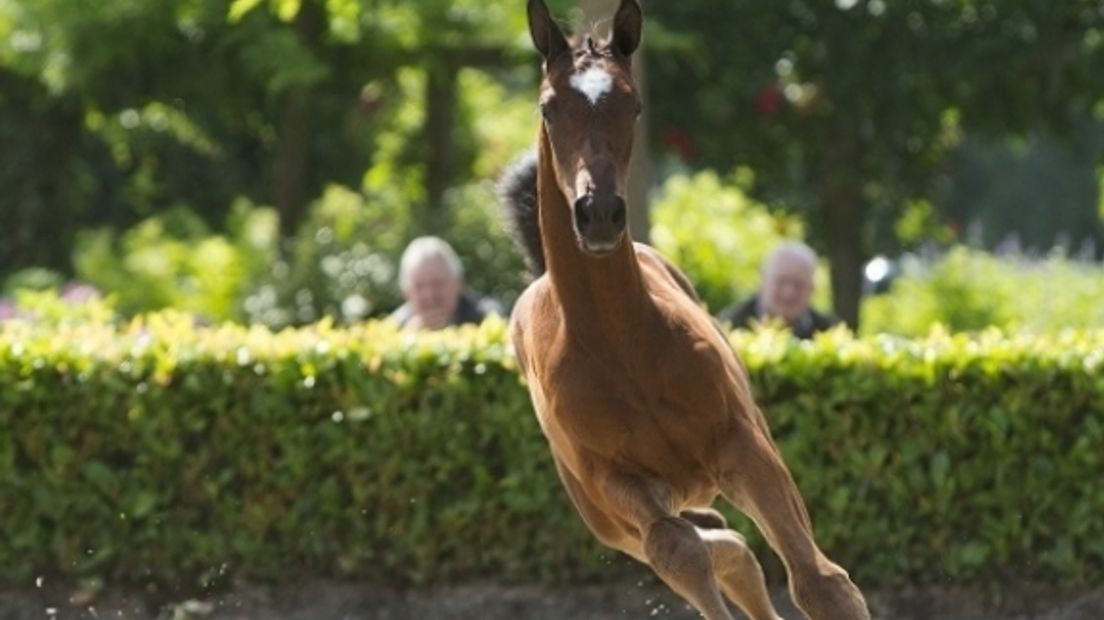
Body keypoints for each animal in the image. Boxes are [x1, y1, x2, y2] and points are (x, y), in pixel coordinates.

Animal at [505, 2, 874, 613]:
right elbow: (678, 551)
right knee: (705, 547)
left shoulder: (745, 445)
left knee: (733, 549)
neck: (619, 343)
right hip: (609, 520)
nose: (598, 214)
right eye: (548, 107)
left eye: (633, 104)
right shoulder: (616, 483)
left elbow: (819, 580)